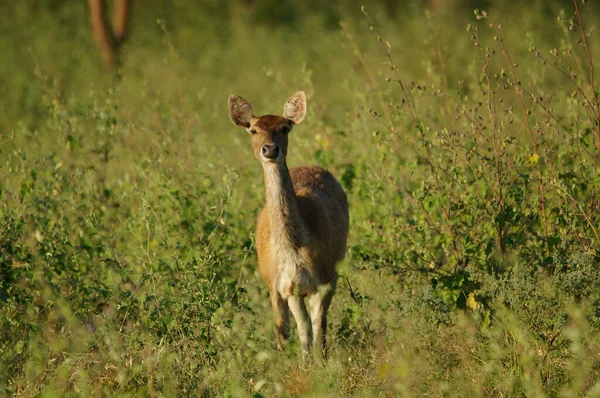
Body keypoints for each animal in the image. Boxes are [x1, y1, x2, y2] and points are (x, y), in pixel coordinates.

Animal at [230, 92, 352, 358]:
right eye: (253, 130)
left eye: (285, 128)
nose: (270, 149)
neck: (293, 250)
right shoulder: (286, 287)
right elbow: (297, 331)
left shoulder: (321, 280)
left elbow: (315, 329)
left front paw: (318, 364)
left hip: (333, 272)